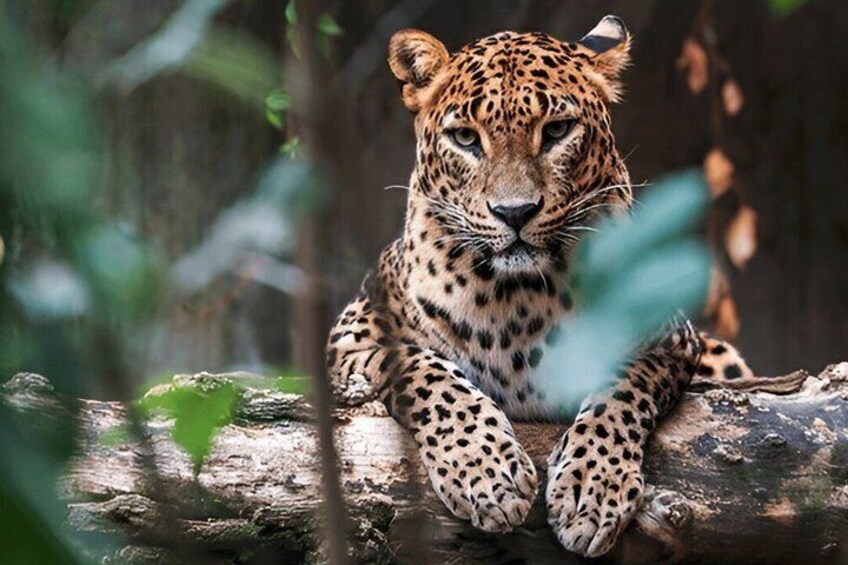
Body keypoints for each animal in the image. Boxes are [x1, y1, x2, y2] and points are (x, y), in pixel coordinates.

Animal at [326, 15, 755, 557]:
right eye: (465, 138)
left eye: (556, 131)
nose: (515, 212)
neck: (517, 296)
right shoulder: (354, 333)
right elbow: (429, 375)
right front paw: (487, 474)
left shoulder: (669, 337)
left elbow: (621, 388)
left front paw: (592, 490)